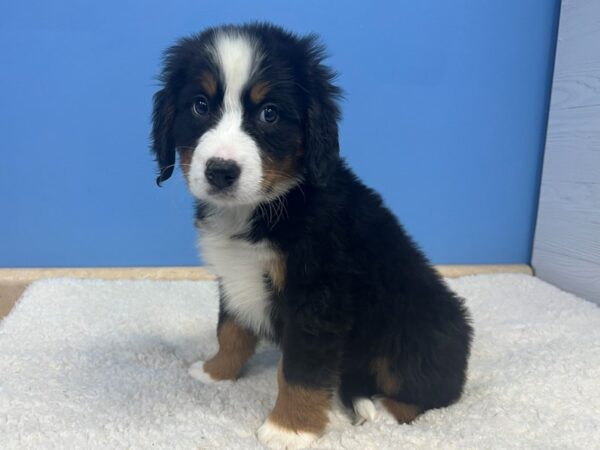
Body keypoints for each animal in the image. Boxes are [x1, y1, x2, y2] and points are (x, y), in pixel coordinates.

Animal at [151, 22, 474, 450]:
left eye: (270, 113)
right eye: (200, 106)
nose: (221, 171)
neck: (267, 205)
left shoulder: (317, 297)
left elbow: (300, 371)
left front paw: (289, 428)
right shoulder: (234, 276)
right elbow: (231, 329)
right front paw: (216, 372)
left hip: (420, 326)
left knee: (433, 390)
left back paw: (384, 412)